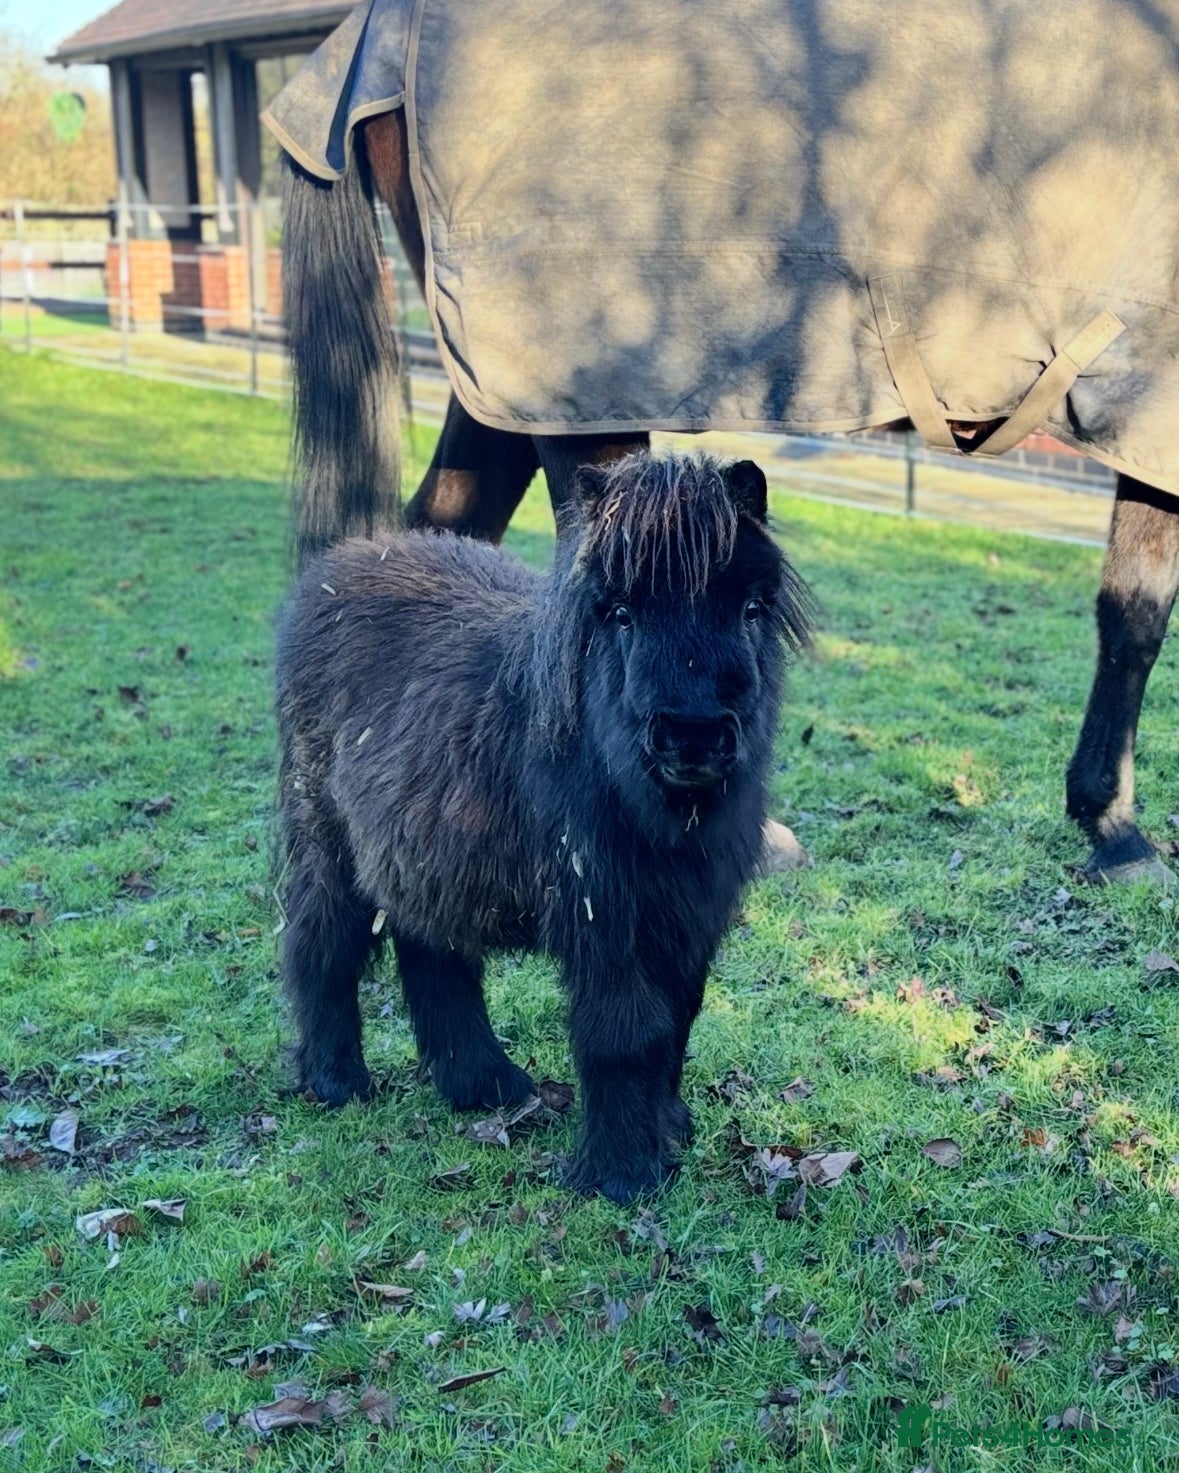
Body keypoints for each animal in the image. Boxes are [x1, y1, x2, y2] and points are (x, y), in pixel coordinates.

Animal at [275, 453, 811, 1203]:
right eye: (619, 612)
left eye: (750, 607)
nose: (692, 736)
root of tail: (341, 563)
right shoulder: (603, 915)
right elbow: (623, 1033)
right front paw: (620, 1176)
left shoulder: (687, 917)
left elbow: (677, 1020)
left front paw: (667, 1130)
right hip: (328, 844)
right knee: (321, 942)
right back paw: (336, 1080)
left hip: (423, 849)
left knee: (431, 953)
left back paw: (484, 1084)